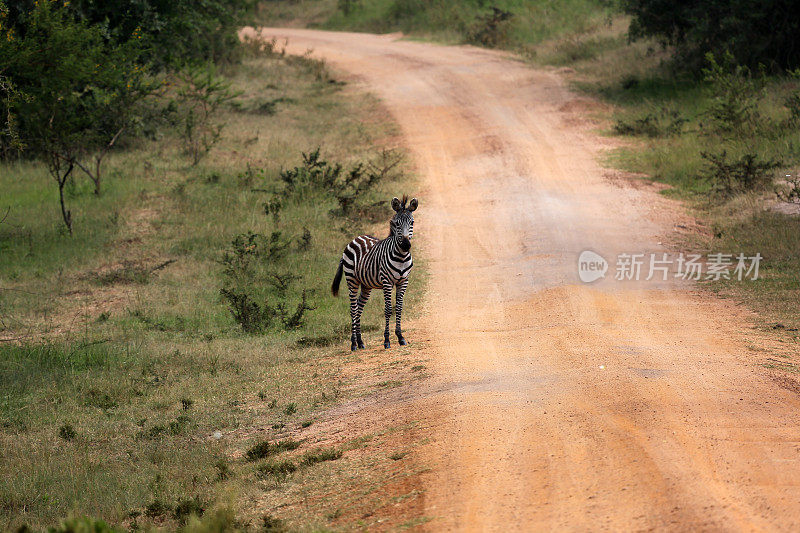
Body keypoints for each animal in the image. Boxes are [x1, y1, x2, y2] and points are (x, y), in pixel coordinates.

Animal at [332, 194, 418, 350]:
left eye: (412, 222)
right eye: (396, 223)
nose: (405, 245)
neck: (401, 257)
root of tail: (356, 238)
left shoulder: (403, 281)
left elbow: (399, 308)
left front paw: (400, 337)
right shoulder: (387, 282)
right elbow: (388, 309)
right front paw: (387, 340)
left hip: (366, 285)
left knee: (359, 308)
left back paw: (360, 342)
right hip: (352, 280)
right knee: (353, 309)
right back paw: (353, 343)